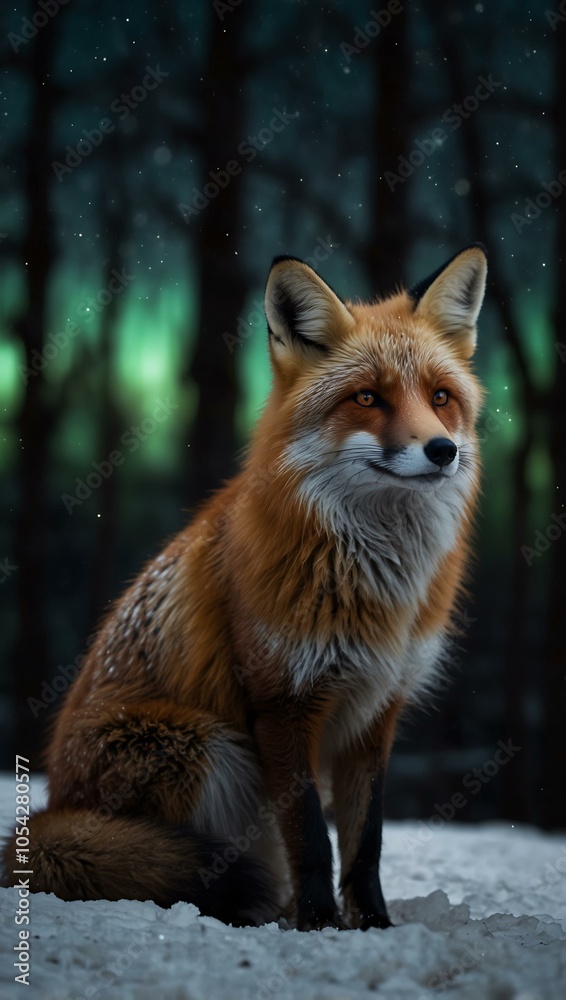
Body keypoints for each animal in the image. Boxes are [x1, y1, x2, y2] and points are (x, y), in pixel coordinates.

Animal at [2, 244, 487, 930]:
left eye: (441, 397)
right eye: (367, 397)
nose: (443, 450)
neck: (376, 587)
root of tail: (54, 805)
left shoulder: (376, 708)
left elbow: (365, 841)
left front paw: (374, 926)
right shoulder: (283, 701)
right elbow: (310, 836)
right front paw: (319, 925)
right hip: (209, 746)